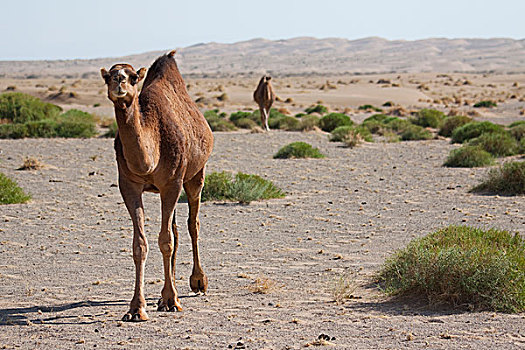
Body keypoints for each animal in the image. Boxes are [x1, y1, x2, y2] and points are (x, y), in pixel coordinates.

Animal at [100, 50, 213, 322]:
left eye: (132, 76)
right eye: (108, 75)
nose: (119, 81)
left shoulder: (172, 182)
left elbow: (166, 241)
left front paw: (172, 300)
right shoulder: (128, 185)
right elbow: (140, 244)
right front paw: (136, 308)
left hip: (195, 175)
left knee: (192, 225)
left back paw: (197, 282)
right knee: (175, 229)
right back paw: (163, 294)